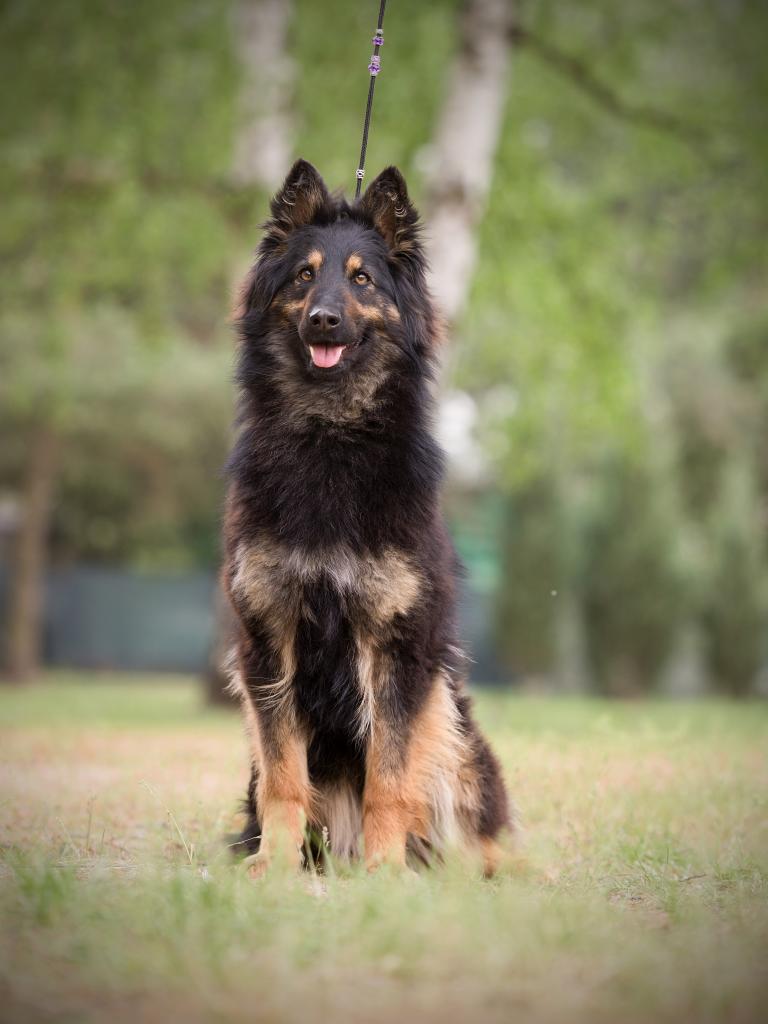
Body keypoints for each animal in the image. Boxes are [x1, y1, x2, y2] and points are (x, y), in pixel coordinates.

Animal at [223, 159, 514, 875]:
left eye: (361, 279)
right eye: (304, 275)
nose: (324, 320)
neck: (331, 436)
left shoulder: (398, 651)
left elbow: (389, 776)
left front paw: (385, 874)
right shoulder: (268, 643)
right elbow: (284, 776)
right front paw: (272, 867)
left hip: (451, 723)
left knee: (473, 833)